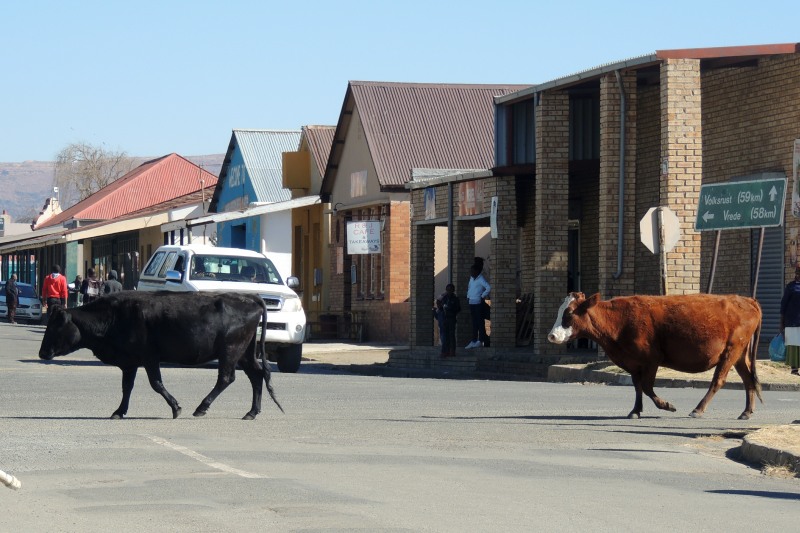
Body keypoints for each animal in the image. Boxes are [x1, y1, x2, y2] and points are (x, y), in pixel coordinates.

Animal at [39, 291, 283, 420]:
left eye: (56, 326)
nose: (42, 353)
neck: (115, 316)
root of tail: (249, 297)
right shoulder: (130, 363)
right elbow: (127, 387)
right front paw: (119, 411)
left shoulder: (149, 358)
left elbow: (156, 383)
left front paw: (176, 407)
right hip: (244, 353)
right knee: (256, 375)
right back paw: (252, 412)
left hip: (230, 351)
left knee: (226, 378)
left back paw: (201, 407)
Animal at [547, 292, 763, 420]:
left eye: (569, 313)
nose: (552, 336)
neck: (620, 320)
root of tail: (746, 299)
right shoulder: (632, 362)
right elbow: (637, 386)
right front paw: (635, 411)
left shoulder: (651, 359)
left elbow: (647, 386)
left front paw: (666, 405)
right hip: (739, 354)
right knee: (748, 380)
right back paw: (746, 412)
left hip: (731, 351)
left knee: (718, 380)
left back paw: (698, 409)